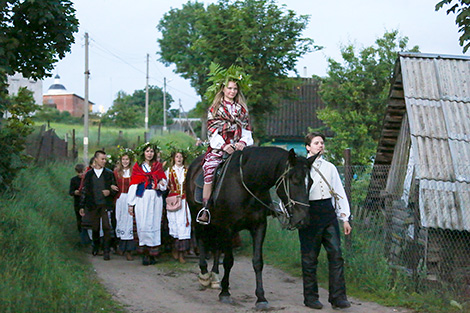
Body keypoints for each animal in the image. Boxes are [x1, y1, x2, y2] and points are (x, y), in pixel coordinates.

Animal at [186, 146, 316, 308]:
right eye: (294, 180)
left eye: (310, 182)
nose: (303, 220)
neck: (247, 185)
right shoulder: (228, 228)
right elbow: (228, 261)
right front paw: (225, 293)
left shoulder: (259, 227)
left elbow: (258, 262)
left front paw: (261, 298)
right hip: (196, 216)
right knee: (201, 238)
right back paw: (204, 275)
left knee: (216, 246)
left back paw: (215, 276)